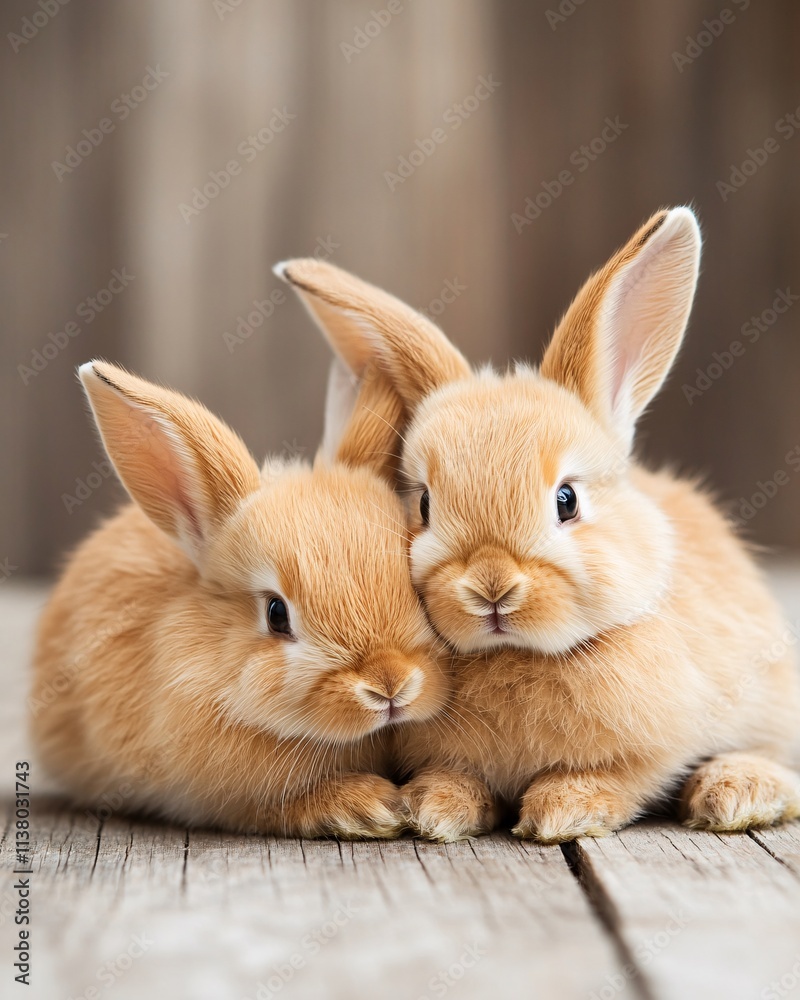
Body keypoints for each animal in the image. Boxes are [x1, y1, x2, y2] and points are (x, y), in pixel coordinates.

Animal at [274, 207, 800, 842]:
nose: (491, 588)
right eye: (423, 506)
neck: (519, 655)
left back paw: (737, 791)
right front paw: (436, 807)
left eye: (566, 500)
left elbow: (623, 776)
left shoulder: (653, 749)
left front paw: (563, 810)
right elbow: (457, 776)